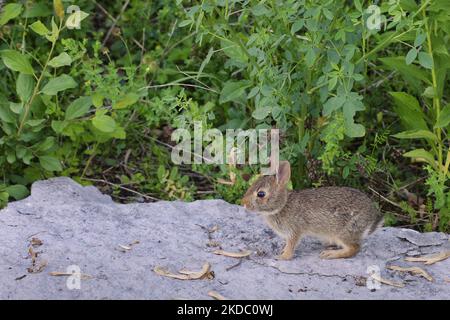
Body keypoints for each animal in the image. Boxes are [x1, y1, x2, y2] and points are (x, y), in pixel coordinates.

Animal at [241, 160, 384, 260]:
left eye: (261, 194)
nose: (244, 203)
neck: (282, 205)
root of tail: (371, 218)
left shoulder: (294, 230)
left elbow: (291, 245)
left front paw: (282, 257)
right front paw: (282, 251)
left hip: (345, 231)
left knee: (354, 248)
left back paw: (330, 254)